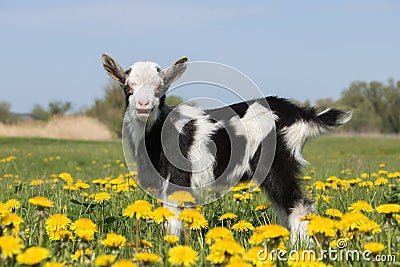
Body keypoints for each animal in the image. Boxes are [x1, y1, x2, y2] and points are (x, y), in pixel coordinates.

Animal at [102, 54, 350, 243]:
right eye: (127, 86)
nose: (143, 105)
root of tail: (297, 113)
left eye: (160, 87)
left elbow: (174, 218)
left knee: (297, 203)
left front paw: (171, 246)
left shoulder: (178, 179)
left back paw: (301, 245)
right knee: (283, 206)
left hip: (278, 164)